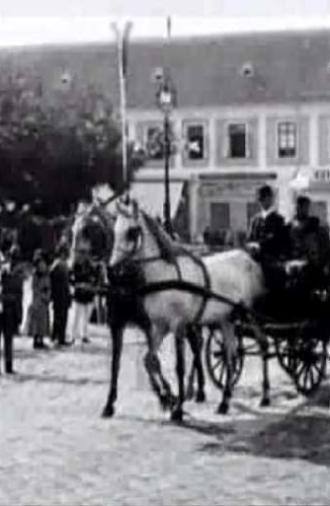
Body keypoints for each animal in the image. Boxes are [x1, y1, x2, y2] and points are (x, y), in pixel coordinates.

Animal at [105, 199, 270, 422]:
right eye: (114, 230)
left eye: (132, 231)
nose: (112, 269)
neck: (166, 275)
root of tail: (248, 257)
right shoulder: (158, 326)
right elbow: (149, 360)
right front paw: (168, 398)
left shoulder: (178, 326)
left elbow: (179, 367)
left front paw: (178, 407)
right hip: (226, 318)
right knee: (230, 355)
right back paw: (224, 402)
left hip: (251, 315)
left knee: (263, 344)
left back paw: (265, 396)